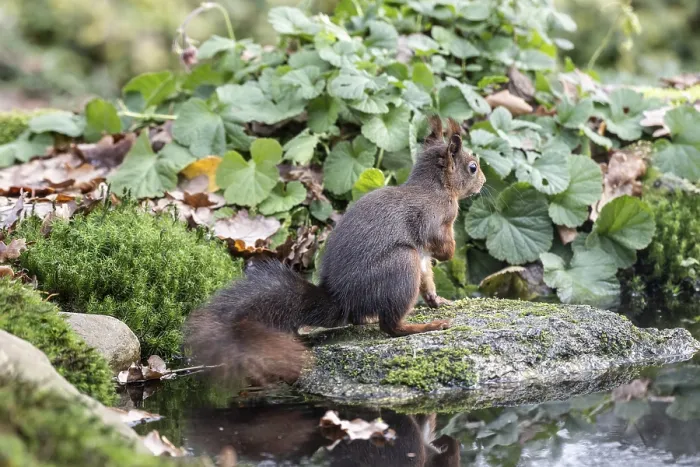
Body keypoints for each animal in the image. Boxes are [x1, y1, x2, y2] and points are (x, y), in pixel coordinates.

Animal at [185, 116, 485, 386]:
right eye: (472, 167)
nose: (483, 182)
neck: (435, 186)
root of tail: (341, 299)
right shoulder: (434, 220)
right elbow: (441, 246)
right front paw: (450, 254)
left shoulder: (425, 258)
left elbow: (429, 281)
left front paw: (440, 301)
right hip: (402, 263)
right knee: (390, 326)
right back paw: (422, 327)